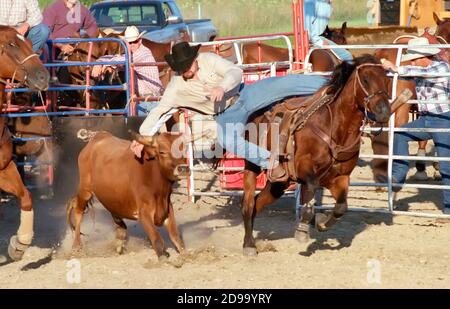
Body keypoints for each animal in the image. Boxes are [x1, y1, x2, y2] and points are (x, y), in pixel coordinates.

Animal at [241, 54, 392, 254]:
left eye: (386, 79)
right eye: (366, 79)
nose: (384, 112)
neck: (335, 128)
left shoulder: (339, 177)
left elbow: (341, 207)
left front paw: (321, 223)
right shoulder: (305, 170)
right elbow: (311, 192)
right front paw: (302, 230)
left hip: (279, 184)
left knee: (257, 204)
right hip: (252, 165)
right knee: (248, 204)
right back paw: (249, 245)